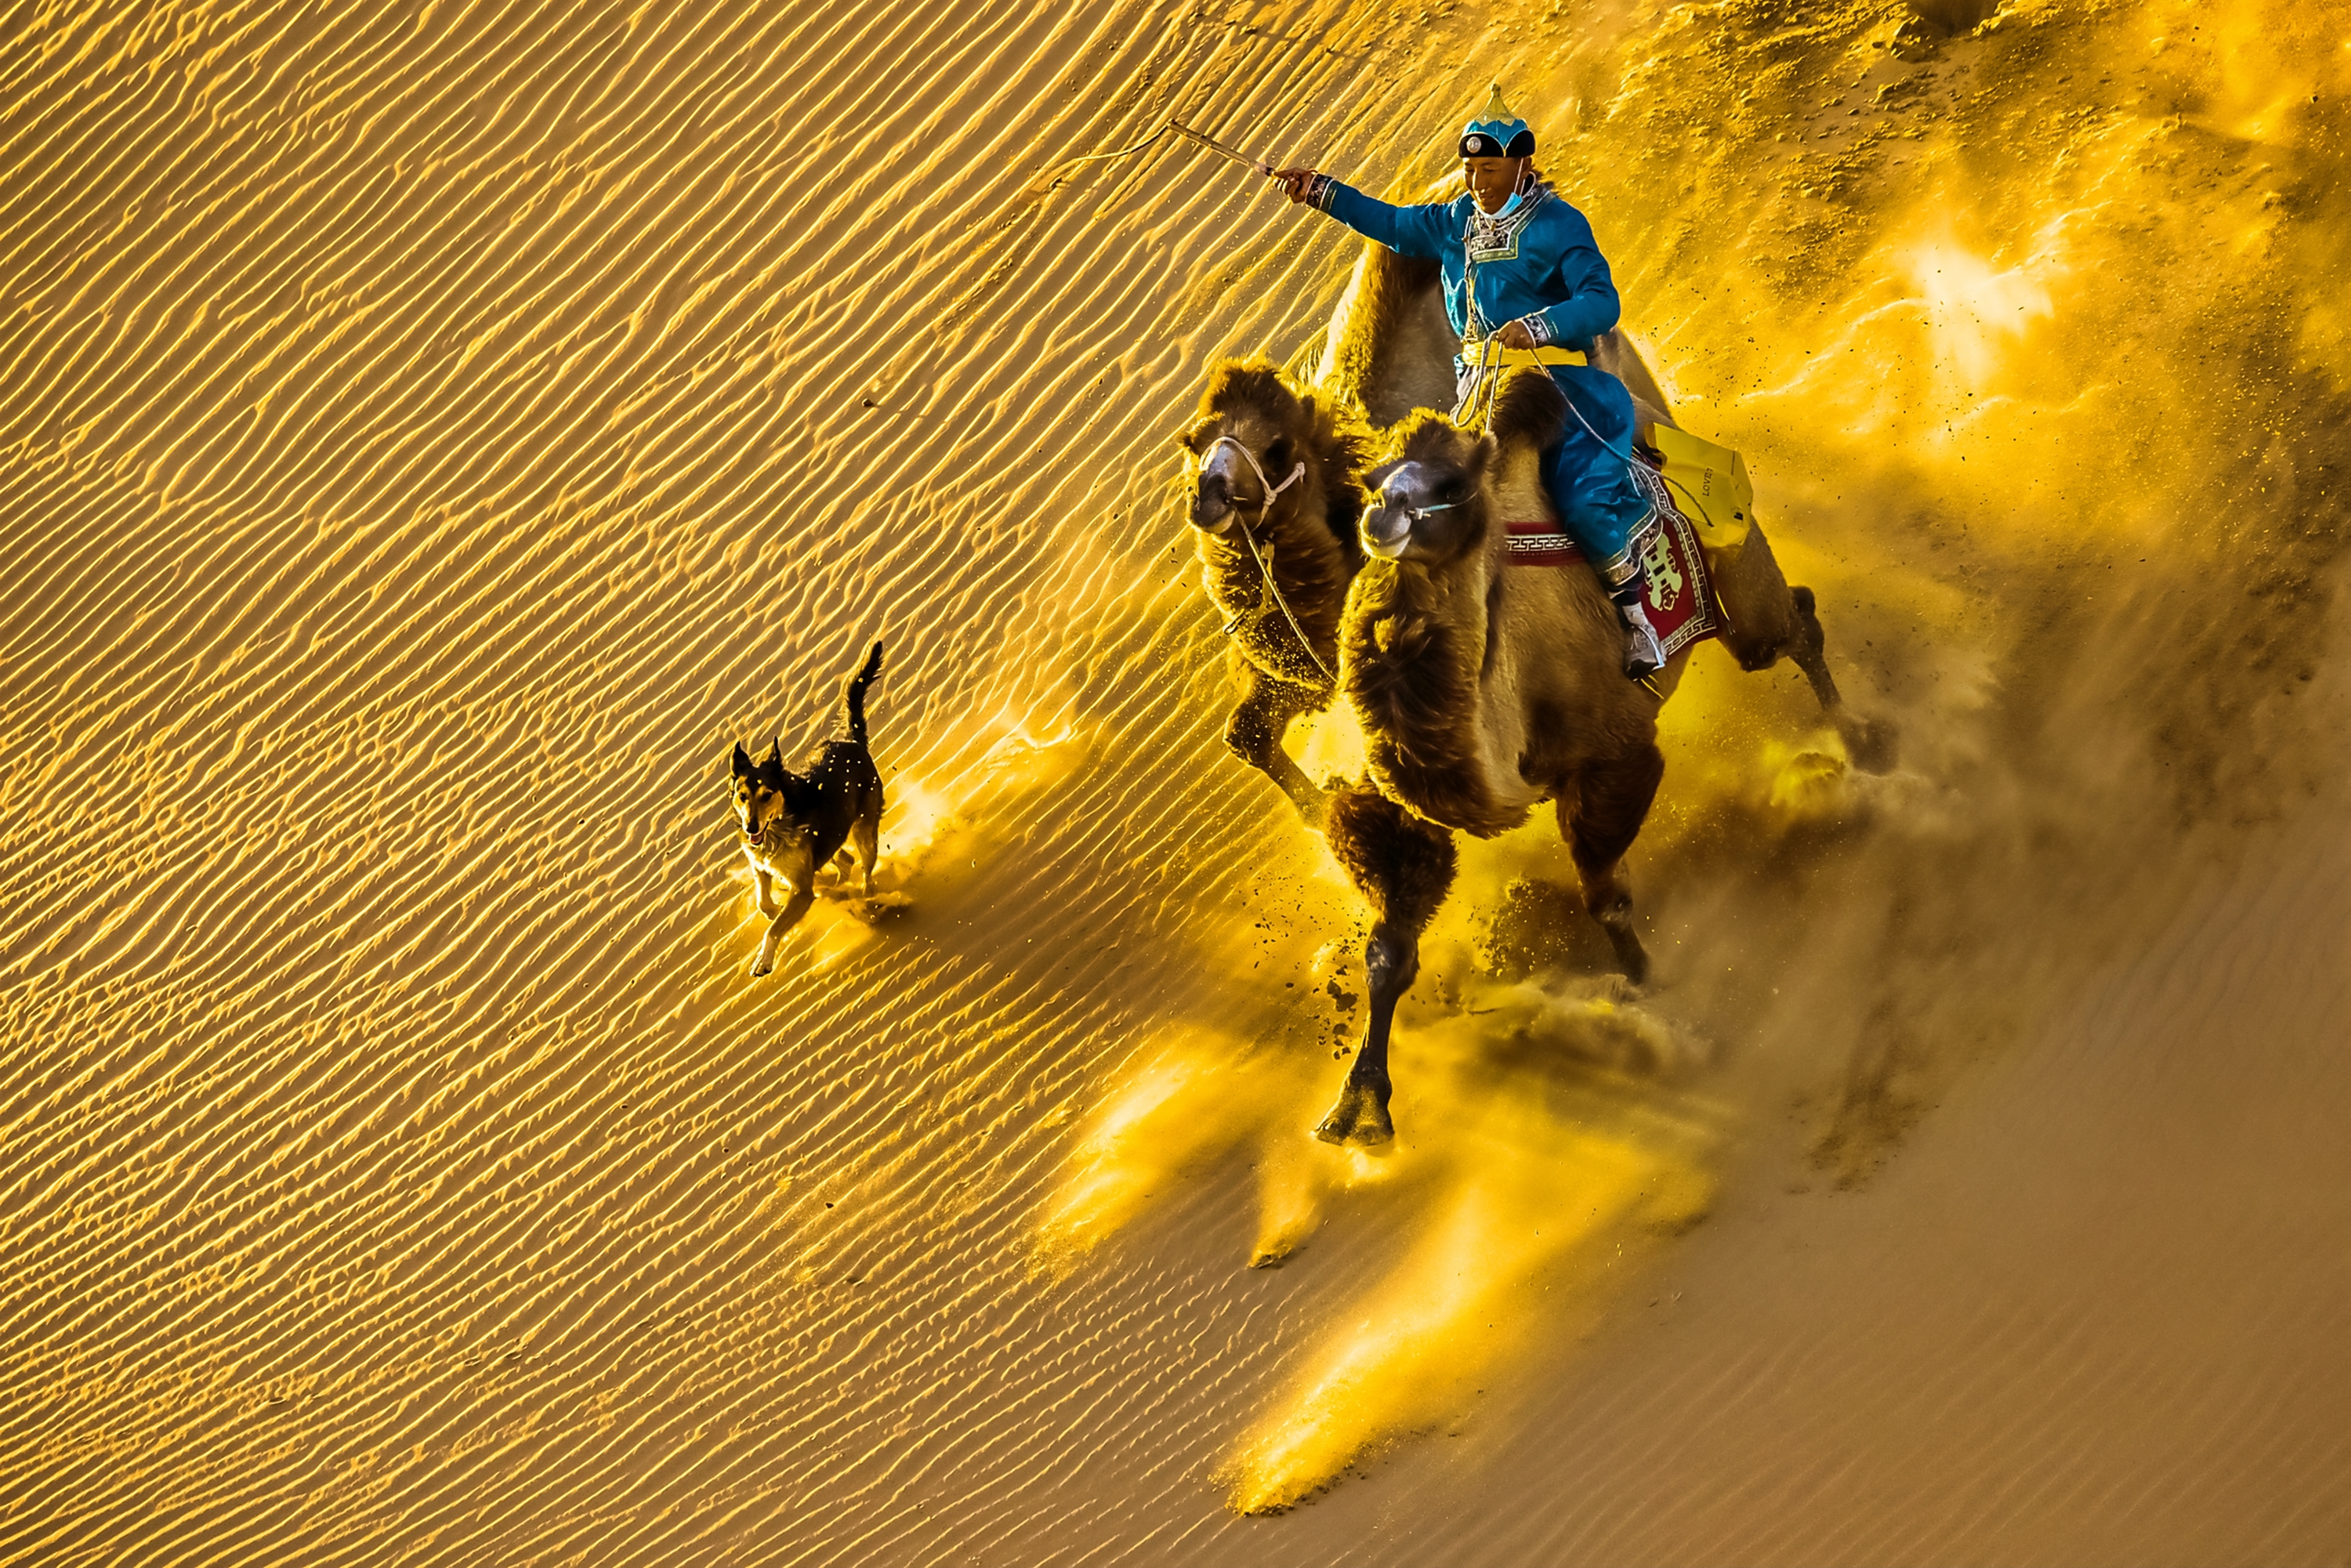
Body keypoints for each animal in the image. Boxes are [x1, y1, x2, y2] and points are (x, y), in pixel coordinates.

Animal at [724, 644, 884, 973]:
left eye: (767, 795)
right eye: (742, 796)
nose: (751, 828)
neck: (777, 828)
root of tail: (853, 741)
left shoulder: (802, 887)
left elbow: (774, 928)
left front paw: (764, 958)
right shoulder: (760, 866)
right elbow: (763, 903)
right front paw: (775, 908)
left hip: (865, 830)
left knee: (865, 869)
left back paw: (866, 897)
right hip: (832, 838)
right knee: (846, 862)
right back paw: (838, 890)